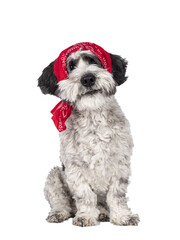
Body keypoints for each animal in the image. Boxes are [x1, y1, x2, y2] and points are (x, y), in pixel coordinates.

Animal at [37, 42, 139, 226]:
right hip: (54, 176)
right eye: (71, 66)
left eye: (93, 61)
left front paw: (122, 216)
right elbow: (84, 195)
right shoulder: (74, 167)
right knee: (61, 201)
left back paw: (103, 213)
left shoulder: (120, 163)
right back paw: (60, 213)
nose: (88, 79)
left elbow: (117, 195)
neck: (93, 118)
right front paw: (85, 216)